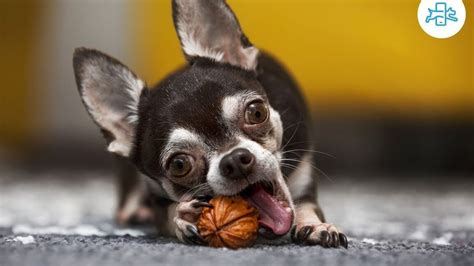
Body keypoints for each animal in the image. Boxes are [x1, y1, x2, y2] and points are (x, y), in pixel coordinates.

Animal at [74, 0, 348, 248]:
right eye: (180, 164)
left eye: (256, 113)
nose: (235, 160)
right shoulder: (156, 198)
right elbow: (165, 212)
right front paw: (181, 216)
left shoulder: (303, 175)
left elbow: (306, 205)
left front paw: (314, 224)